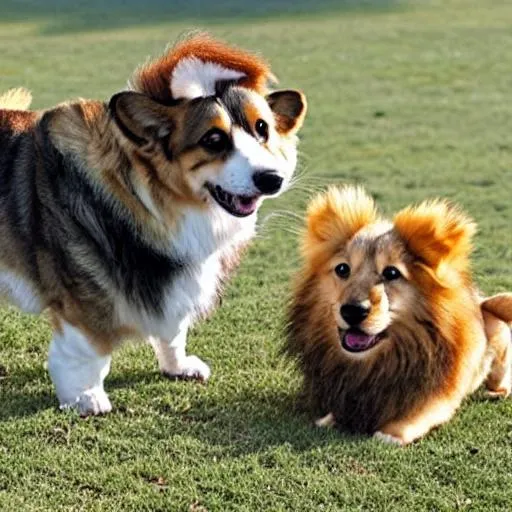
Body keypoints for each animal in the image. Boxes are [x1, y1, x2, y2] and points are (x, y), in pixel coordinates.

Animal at [0, 33, 304, 416]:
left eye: (262, 128)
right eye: (213, 140)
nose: (272, 179)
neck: (153, 197)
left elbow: (174, 331)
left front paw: (178, 366)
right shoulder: (85, 292)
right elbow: (87, 350)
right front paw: (85, 396)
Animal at [284, 187, 512, 444]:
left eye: (391, 273)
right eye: (342, 269)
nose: (353, 310)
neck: (377, 365)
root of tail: (483, 304)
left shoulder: (438, 395)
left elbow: (418, 414)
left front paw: (390, 434)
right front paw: (329, 419)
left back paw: (496, 392)